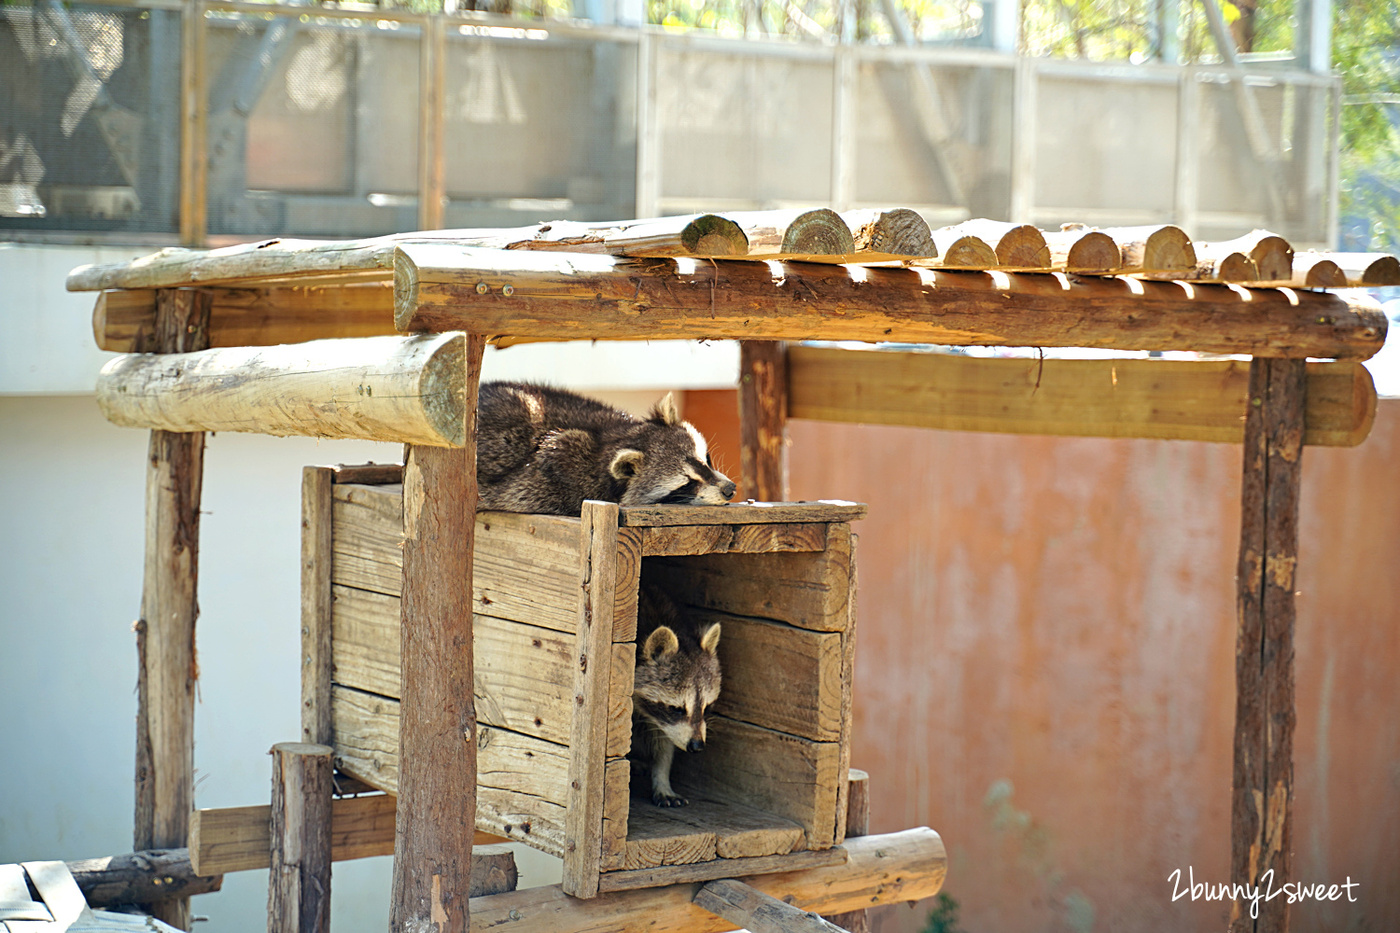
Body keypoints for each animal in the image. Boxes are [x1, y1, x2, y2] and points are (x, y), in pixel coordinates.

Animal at [632, 582, 722, 806]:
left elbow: (664, 742)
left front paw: (662, 778)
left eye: (707, 707)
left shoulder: (663, 723)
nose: (697, 746)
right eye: (677, 709)